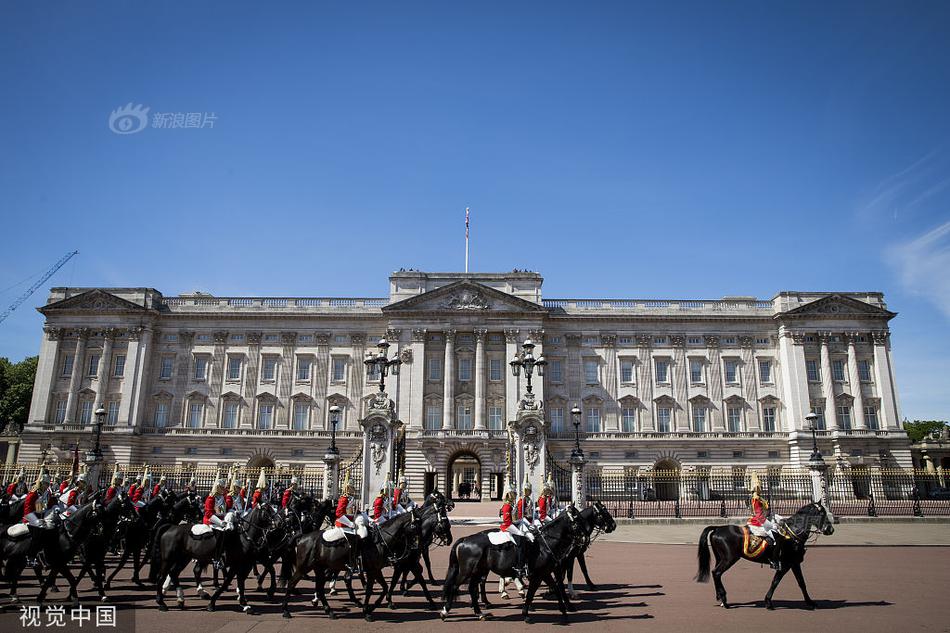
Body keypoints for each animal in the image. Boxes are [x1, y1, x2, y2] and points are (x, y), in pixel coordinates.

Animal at [696, 502, 836, 608]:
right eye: (821, 513)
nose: (830, 530)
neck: (793, 534)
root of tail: (717, 528)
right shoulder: (785, 564)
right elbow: (775, 581)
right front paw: (768, 602)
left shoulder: (795, 563)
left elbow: (801, 582)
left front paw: (810, 602)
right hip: (729, 558)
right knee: (716, 573)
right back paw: (724, 600)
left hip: (721, 558)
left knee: (716, 574)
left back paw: (720, 598)